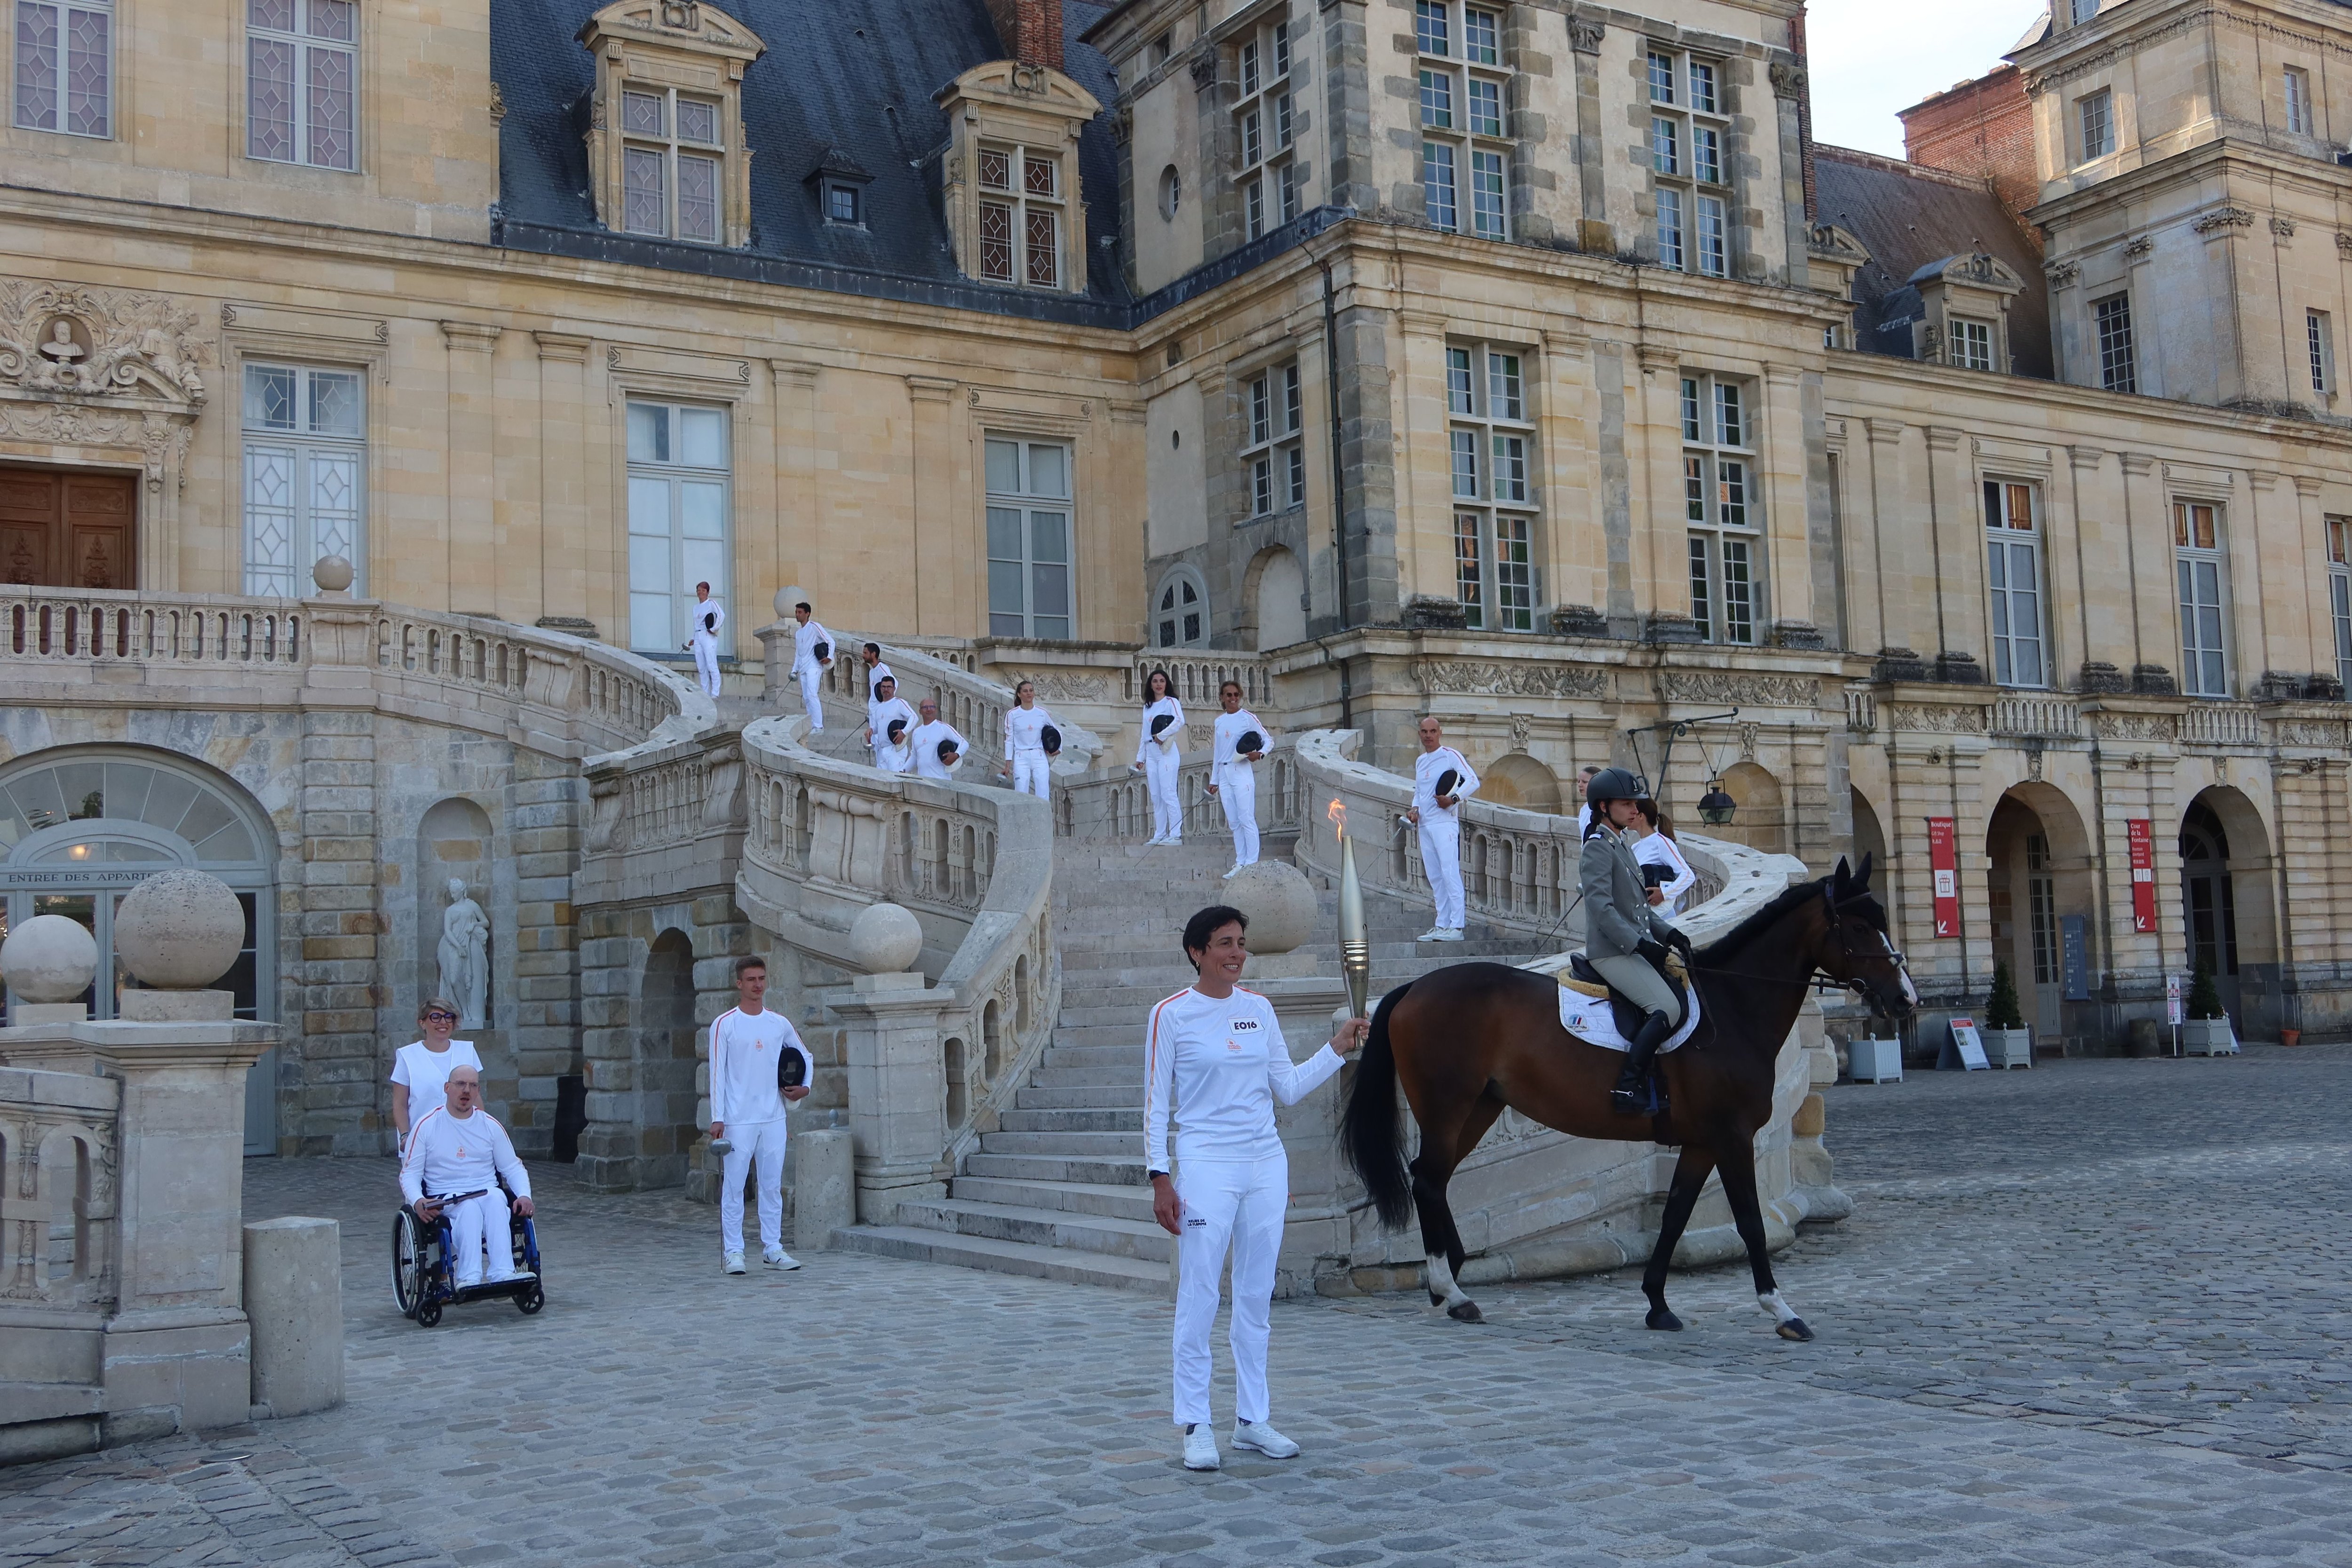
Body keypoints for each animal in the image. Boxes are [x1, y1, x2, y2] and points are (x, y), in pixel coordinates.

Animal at [1345, 860, 1910, 1335]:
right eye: (1860, 928)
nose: (1905, 997)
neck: (1732, 1008)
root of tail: (1415, 987)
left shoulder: (1701, 1143)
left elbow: (1675, 1216)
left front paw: (1657, 1303)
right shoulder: (1731, 1137)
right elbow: (1748, 1222)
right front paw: (1782, 1310)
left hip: (1479, 1107)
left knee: (1434, 1178)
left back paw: (1452, 1278)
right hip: (1448, 1106)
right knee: (1427, 1179)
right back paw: (1452, 1289)